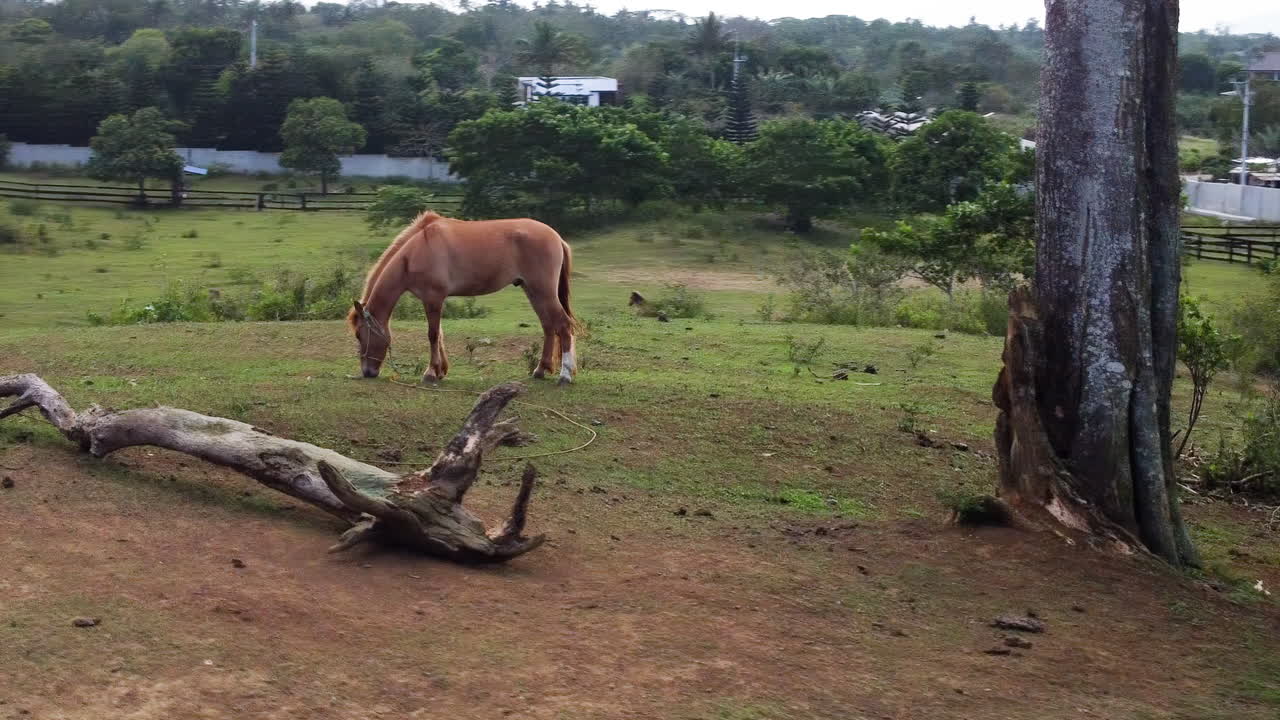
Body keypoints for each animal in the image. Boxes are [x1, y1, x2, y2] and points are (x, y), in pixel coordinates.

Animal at [347, 211, 579, 384]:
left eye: (359, 334)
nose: (367, 372)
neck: (415, 251)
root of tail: (556, 237)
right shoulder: (433, 300)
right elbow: (439, 334)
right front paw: (440, 370)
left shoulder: (433, 298)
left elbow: (433, 334)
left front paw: (431, 373)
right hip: (533, 291)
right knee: (548, 326)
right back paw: (540, 370)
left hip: (543, 291)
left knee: (563, 325)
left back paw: (565, 375)